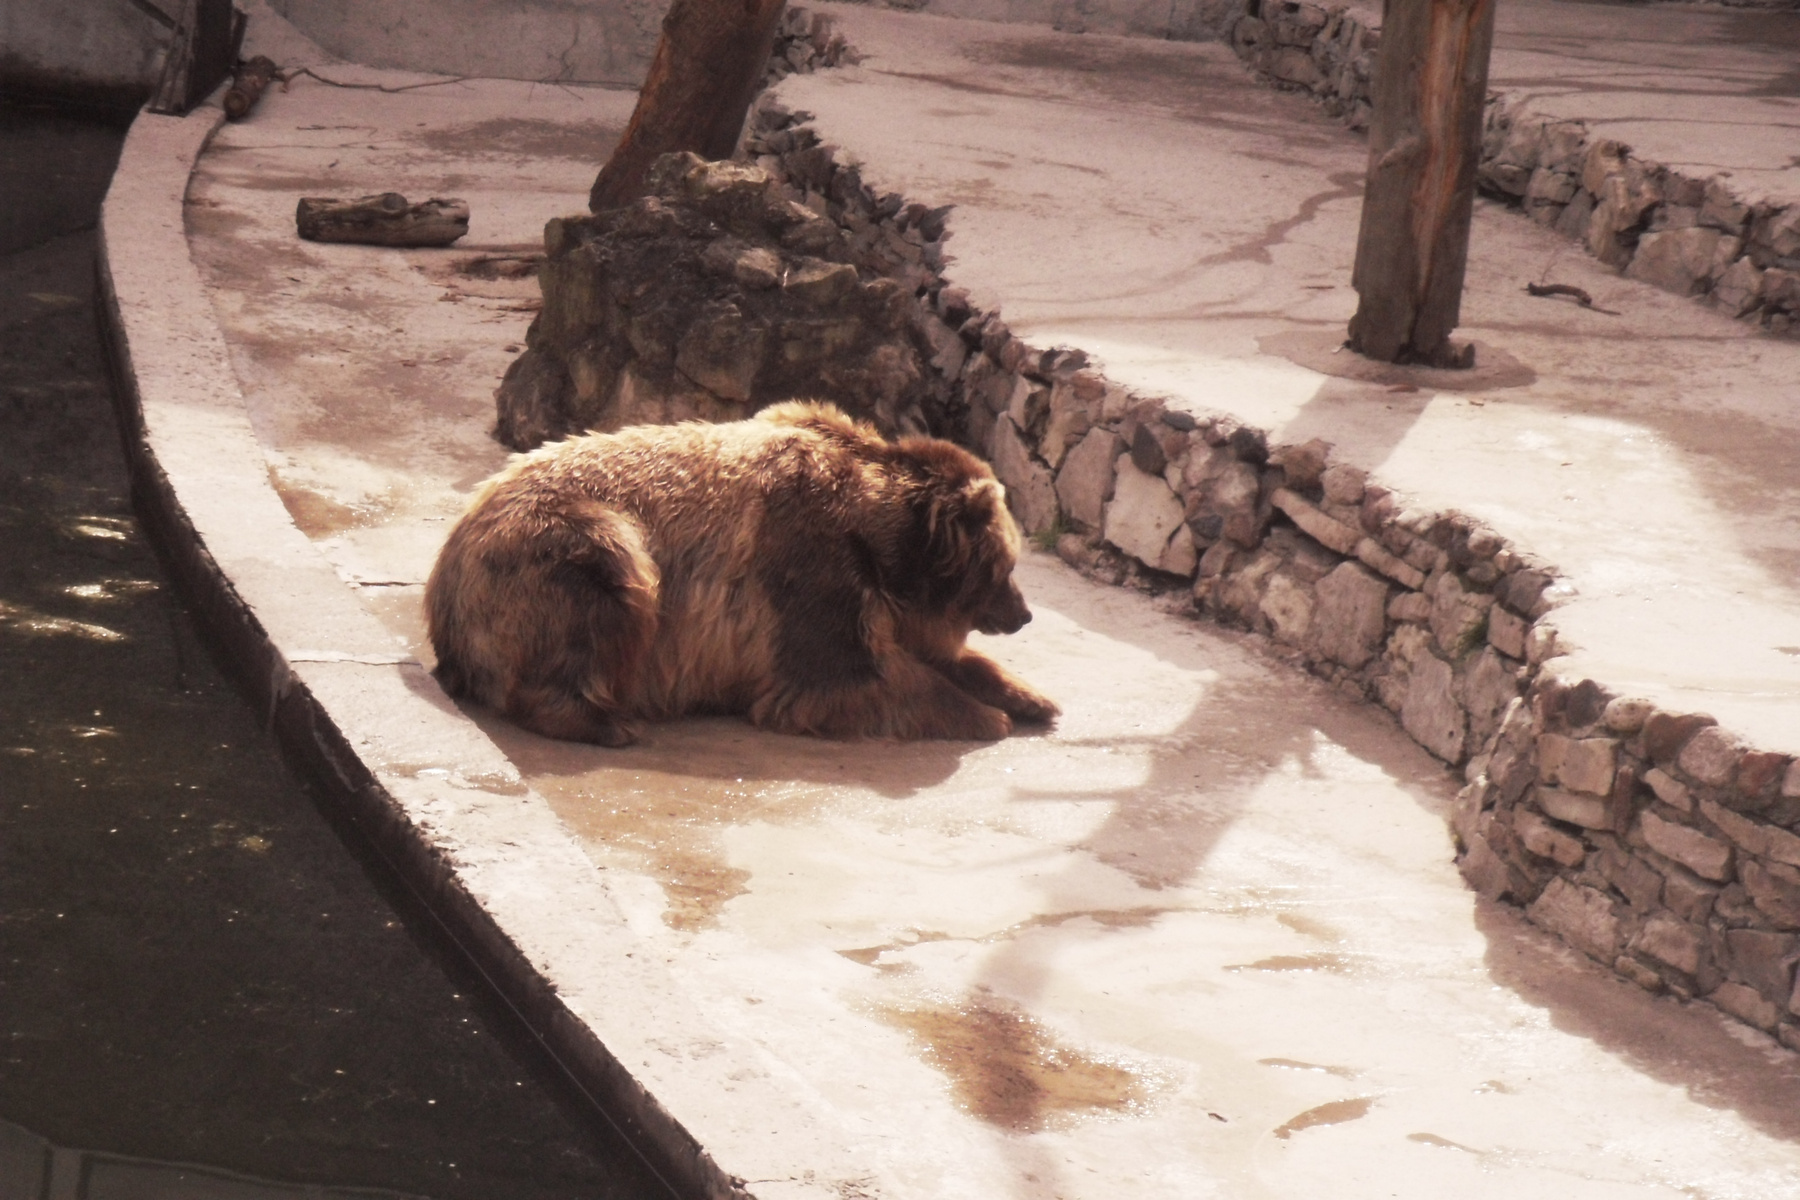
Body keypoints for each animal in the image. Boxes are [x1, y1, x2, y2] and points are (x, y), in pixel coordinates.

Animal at [425, 401, 1059, 745]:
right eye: (1005, 566)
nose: (1025, 614)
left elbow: (937, 657)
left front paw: (1032, 698)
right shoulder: (806, 560)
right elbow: (847, 674)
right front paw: (988, 717)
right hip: (561, 544)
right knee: (610, 592)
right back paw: (608, 723)